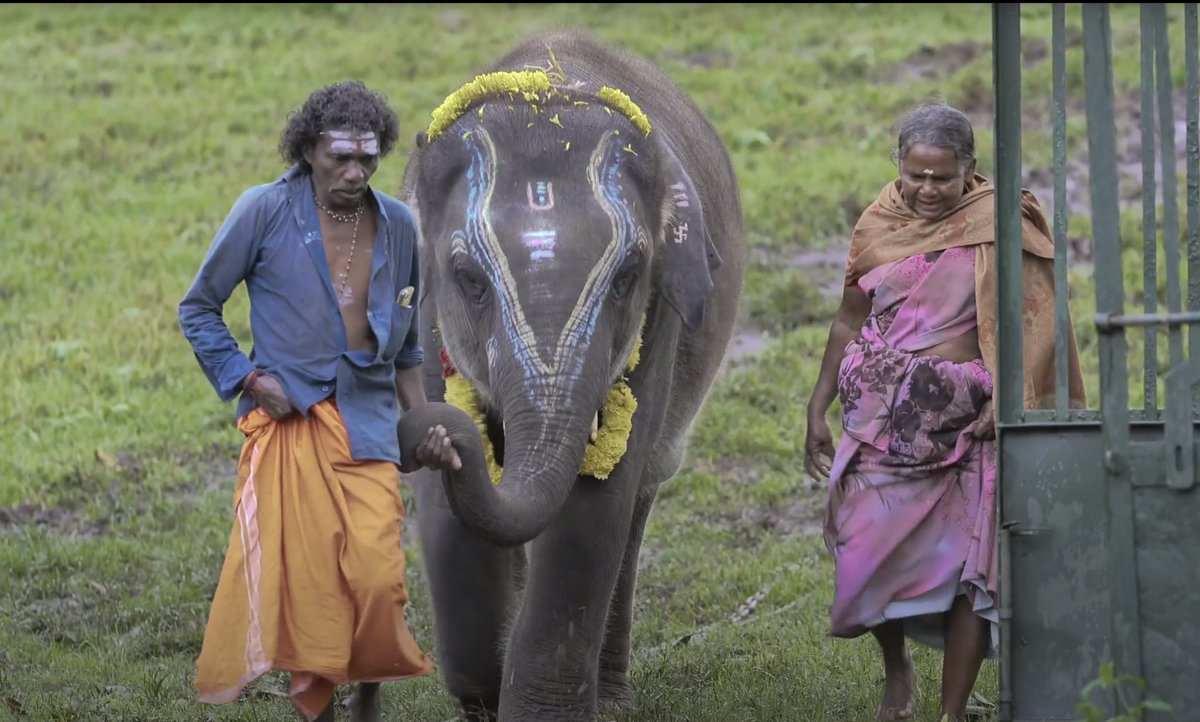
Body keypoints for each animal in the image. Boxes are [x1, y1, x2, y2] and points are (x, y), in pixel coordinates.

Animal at [393, 29, 744, 719]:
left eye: (629, 274)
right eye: (467, 278)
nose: (438, 434)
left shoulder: (657, 323)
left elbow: (595, 507)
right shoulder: (425, 322)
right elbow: (447, 516)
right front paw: (485, 691)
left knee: (637, 499)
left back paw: (610, 697)